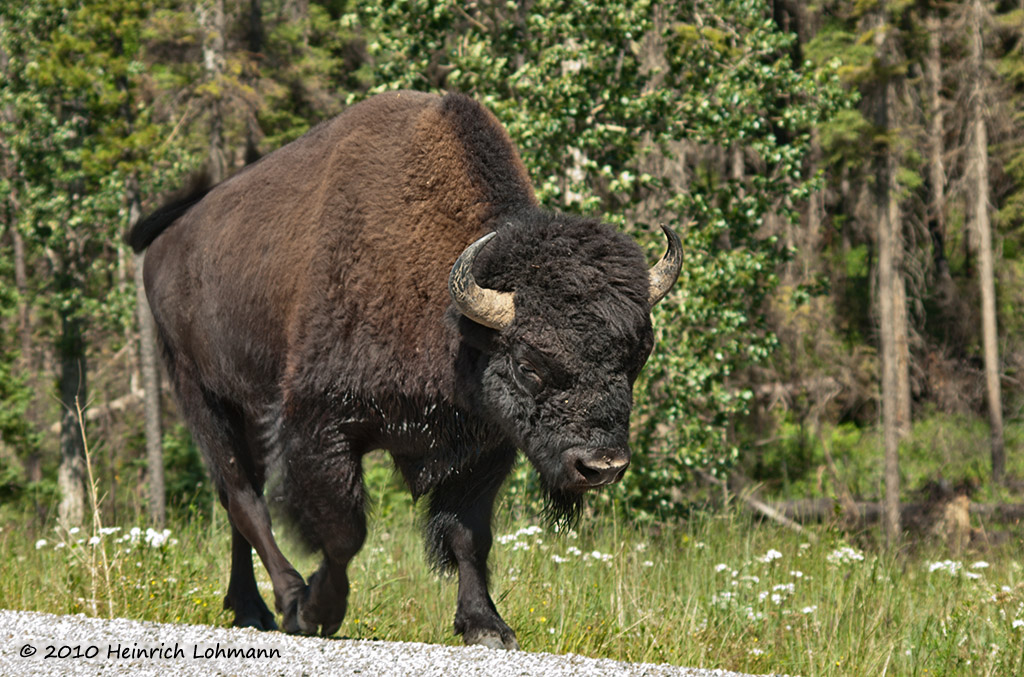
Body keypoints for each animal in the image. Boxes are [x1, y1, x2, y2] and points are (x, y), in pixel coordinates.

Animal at [132, 87, 684, 647]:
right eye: (529, 364)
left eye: (637, 356)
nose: (602, 467)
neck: (453, 321)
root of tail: (167, 242)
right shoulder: (319, 427)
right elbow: (344, 531)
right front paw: (317, 611)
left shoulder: (484, 446)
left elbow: (468, 536)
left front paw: (486, 626)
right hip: (202, 397)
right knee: (244, 499)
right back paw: (284, 600)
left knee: (236, 507)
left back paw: (250, 609)